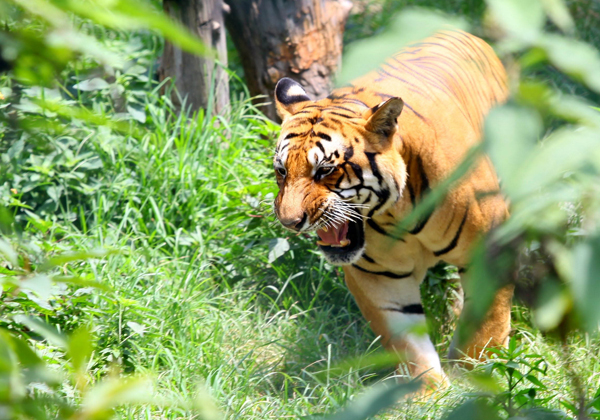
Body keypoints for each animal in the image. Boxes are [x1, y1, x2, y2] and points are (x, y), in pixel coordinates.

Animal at [272, 29, 510, 390]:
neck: (398, 213)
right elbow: (406, 339)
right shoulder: (379, 276)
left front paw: (477, 374)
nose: (290, 221)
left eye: (325, 170)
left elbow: (489, 322)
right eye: (282, 171)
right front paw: (428, 391)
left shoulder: (491, 247)